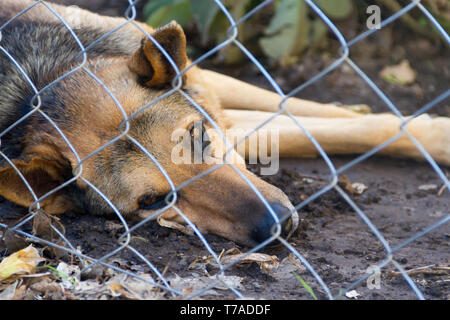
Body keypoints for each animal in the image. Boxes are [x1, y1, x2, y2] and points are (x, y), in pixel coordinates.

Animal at [0, 0, 450, 246]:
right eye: (154, 202)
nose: (278, 225)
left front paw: (426, 129)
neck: (43, 82)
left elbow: (302, 108)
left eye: (197, 137)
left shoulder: (205, 82)